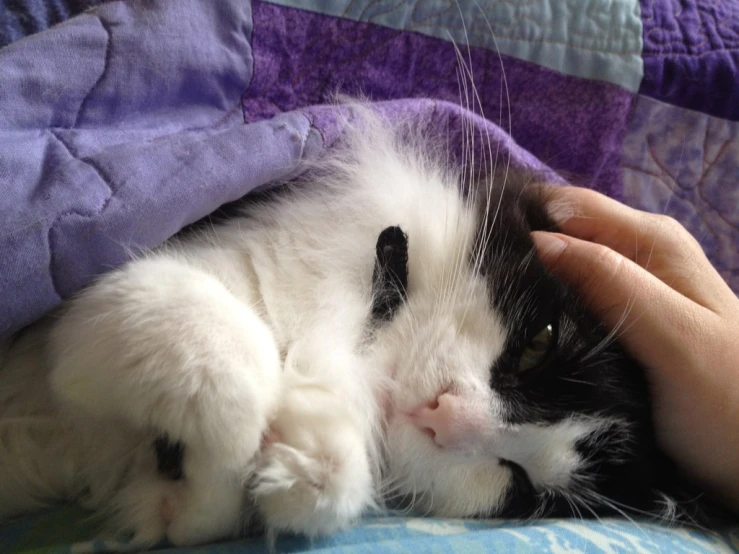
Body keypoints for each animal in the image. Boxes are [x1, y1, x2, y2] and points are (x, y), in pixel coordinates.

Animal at [0, 102, 720, 544]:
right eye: (539, 342)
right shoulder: (89, 310)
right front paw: (248, 441)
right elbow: (231, 364)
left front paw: (277, 466)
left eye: (521, 489)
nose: (443, 416)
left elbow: (260, 494)